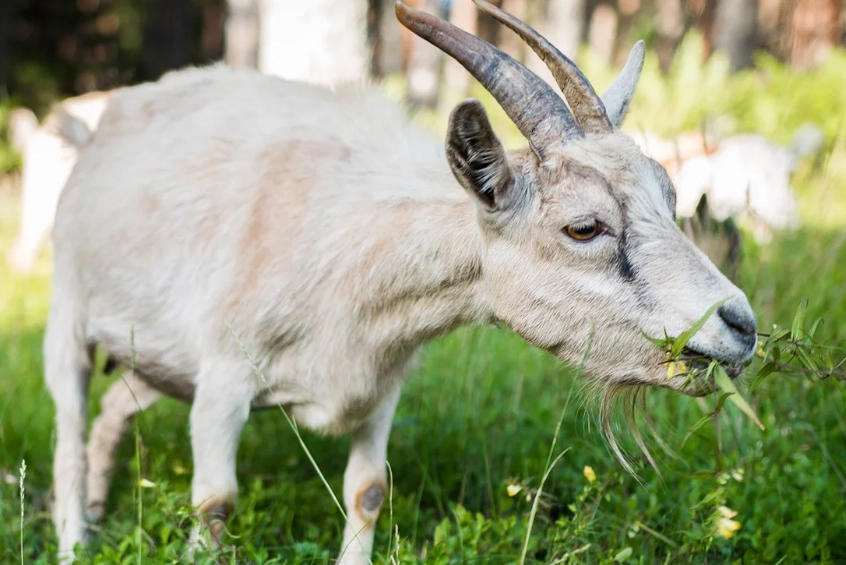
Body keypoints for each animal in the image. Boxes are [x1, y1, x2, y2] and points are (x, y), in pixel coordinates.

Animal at [45, 1, 758, 563]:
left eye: (670, 196)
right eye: (584, 227)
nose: (741, 326)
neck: (354, 246)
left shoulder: (381, 383)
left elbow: (367, 493)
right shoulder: (223, 378)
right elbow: (216, 503)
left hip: (153, 357)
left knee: (112, 414)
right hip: (69, 313)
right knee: (70, 431)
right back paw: (76, 540)